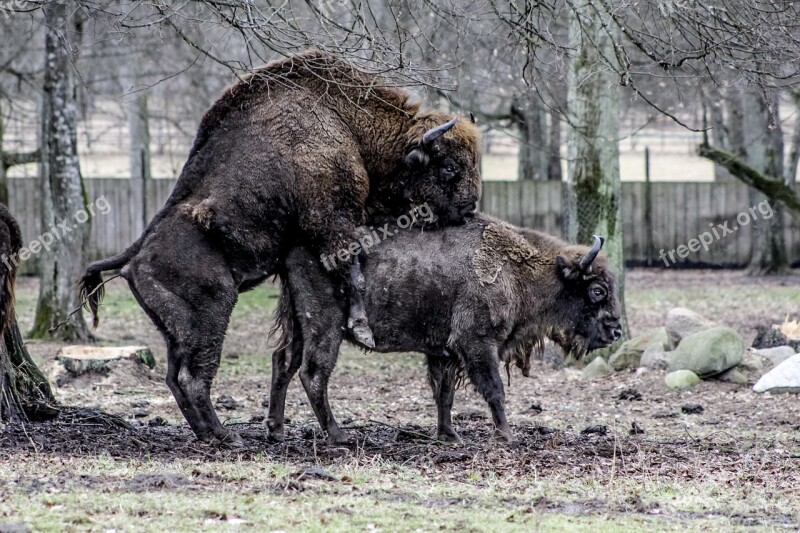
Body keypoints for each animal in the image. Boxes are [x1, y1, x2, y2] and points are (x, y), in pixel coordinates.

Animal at [79, 52, 482, 446]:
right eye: (448, 167)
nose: (470, 208)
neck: (349, 125)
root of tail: (134, 258)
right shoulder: (333, 221)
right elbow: (351, 268)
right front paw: (361, 325)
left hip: (175, 332)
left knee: (174, 377)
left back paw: (210, 433)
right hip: (211, 313)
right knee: (193, 377)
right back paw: (227, 436)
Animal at [272, 214, 620, 442]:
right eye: (597, 291)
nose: (615, 331)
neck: (516, 269)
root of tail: (293, 247)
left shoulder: (443, 352)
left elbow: (444, 392)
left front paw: (449, 435)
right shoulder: (477, 343)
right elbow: (493, 389)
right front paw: (506, 435)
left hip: (300, 326)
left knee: (283, 363)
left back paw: (276, 430)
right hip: (324, 326)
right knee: (313, 374)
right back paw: (338, 435)